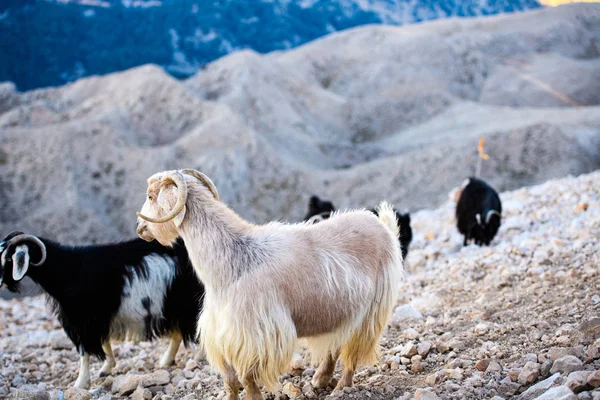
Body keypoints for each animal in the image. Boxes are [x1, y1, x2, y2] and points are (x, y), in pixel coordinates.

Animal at [0, 233, 204, 390]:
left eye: (9, 259)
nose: (0, 282)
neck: (69, 271)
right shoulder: (99, 317)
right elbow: (104, 341)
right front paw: (106, 367)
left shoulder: (84, 321)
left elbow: (84, 352)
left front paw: (80, 383)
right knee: (178, 333)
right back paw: (165, 361)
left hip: (188, 302)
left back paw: (197, 357)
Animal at [135, 170, 404, 400]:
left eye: (150, 195)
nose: (140, 228)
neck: (233, 259)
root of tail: (382, 225)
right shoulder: (222, 333)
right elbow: (230, 380)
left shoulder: (256, 335)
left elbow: (246, 377)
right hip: (343, 310)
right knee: (337, 344)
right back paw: (320, 379)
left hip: (372, 310)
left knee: (353, 350)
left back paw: (341, 387)